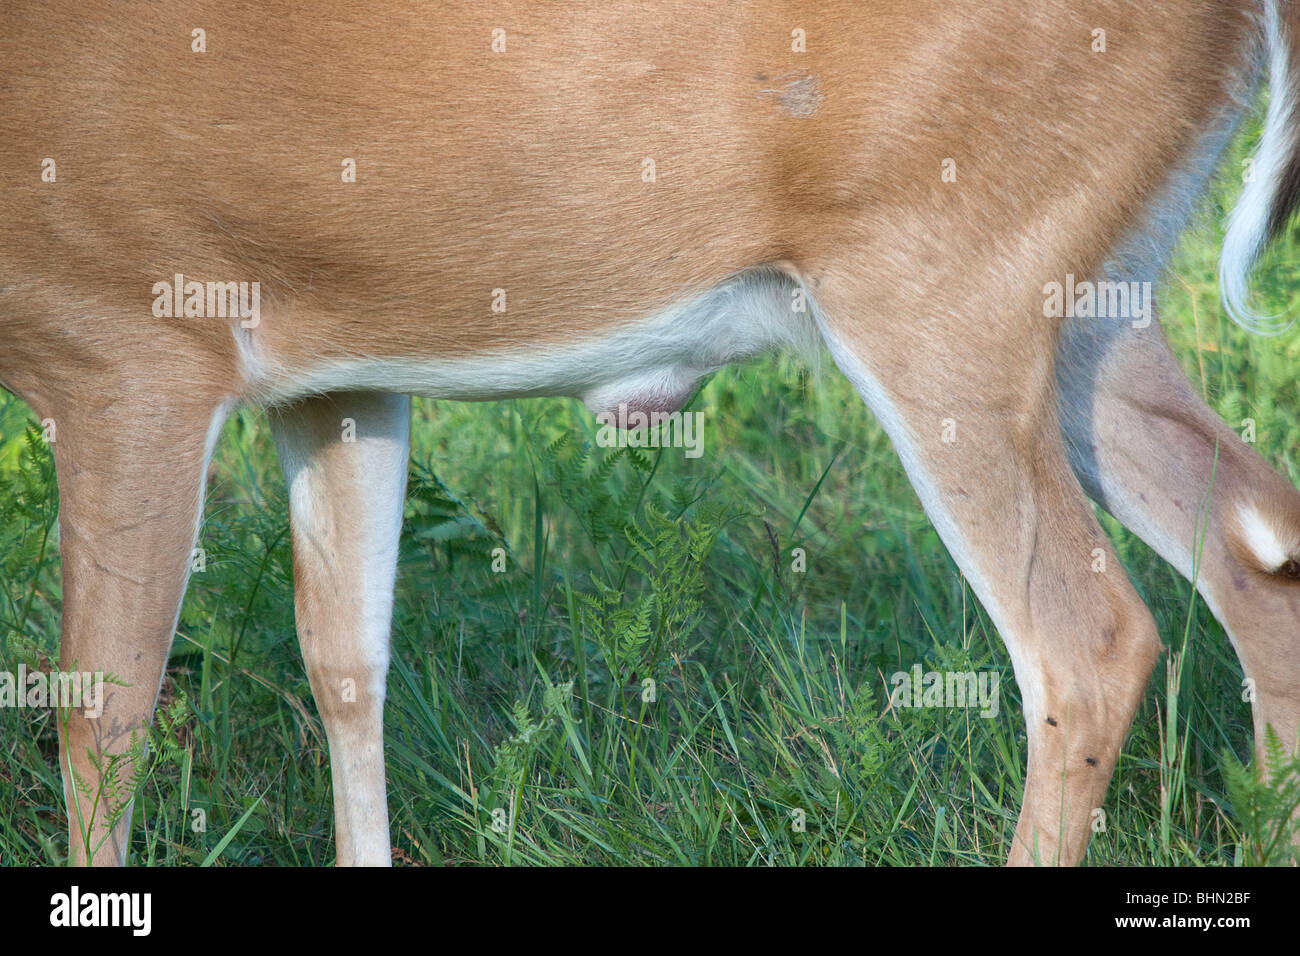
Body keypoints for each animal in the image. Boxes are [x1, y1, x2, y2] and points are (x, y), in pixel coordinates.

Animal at [2, 0, 1300, 868]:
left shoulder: (124, 339)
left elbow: (101, 702)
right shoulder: (335, 380)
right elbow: (346, 662)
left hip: (940, 277)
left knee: (1090, 642)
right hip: (1086, 296)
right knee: (1253, 530)